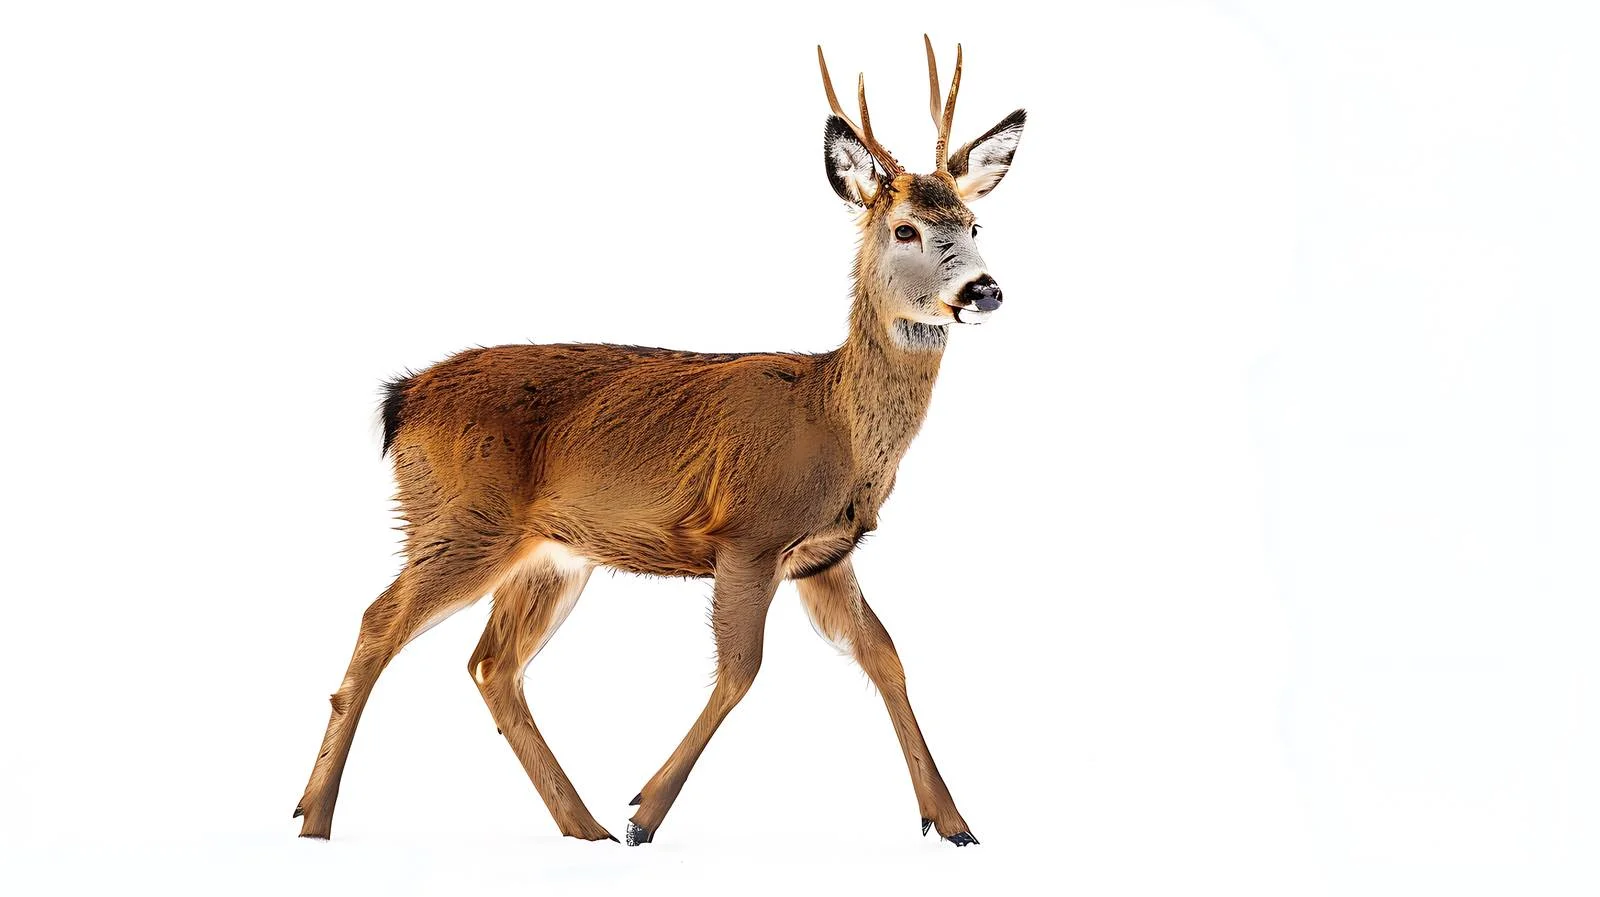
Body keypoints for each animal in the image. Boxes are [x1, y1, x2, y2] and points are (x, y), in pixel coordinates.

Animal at [294, 35, 1025, 848]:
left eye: (974, 225)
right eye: (905, 229)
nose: (985, 290)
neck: (836, 422)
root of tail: (403, 398)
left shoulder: (824, 555)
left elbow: (885, 656)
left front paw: (953, 821)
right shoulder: (750, 532)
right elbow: (742, 669)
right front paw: (646, 809)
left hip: (548, 554)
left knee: (493, 665)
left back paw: (582, 827)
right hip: (461, 520)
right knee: (379, 624)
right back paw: (315, 819)